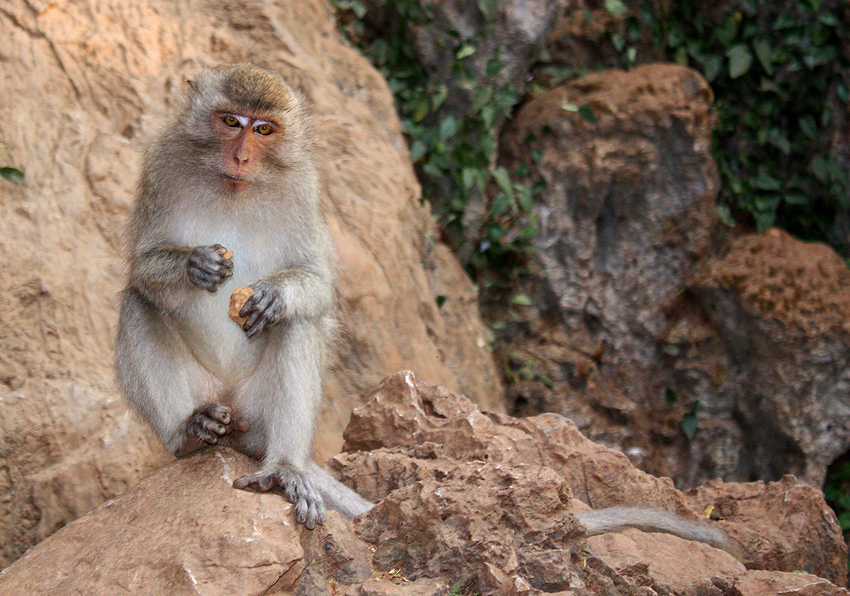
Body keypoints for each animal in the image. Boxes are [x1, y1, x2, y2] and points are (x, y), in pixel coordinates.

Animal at [116, 62, 372, 528]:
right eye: (231, 121)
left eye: (264, 129)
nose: (241, 157)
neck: (234, 187)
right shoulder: (162, 163)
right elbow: (141, 267)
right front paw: (195, 265)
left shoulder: (303, 187)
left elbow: (317, 283)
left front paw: (274, 295)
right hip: (206, 393)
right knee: (137, 302)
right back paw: (189, 434)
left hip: (258, 413)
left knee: (296, 321)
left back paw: (285, 468)